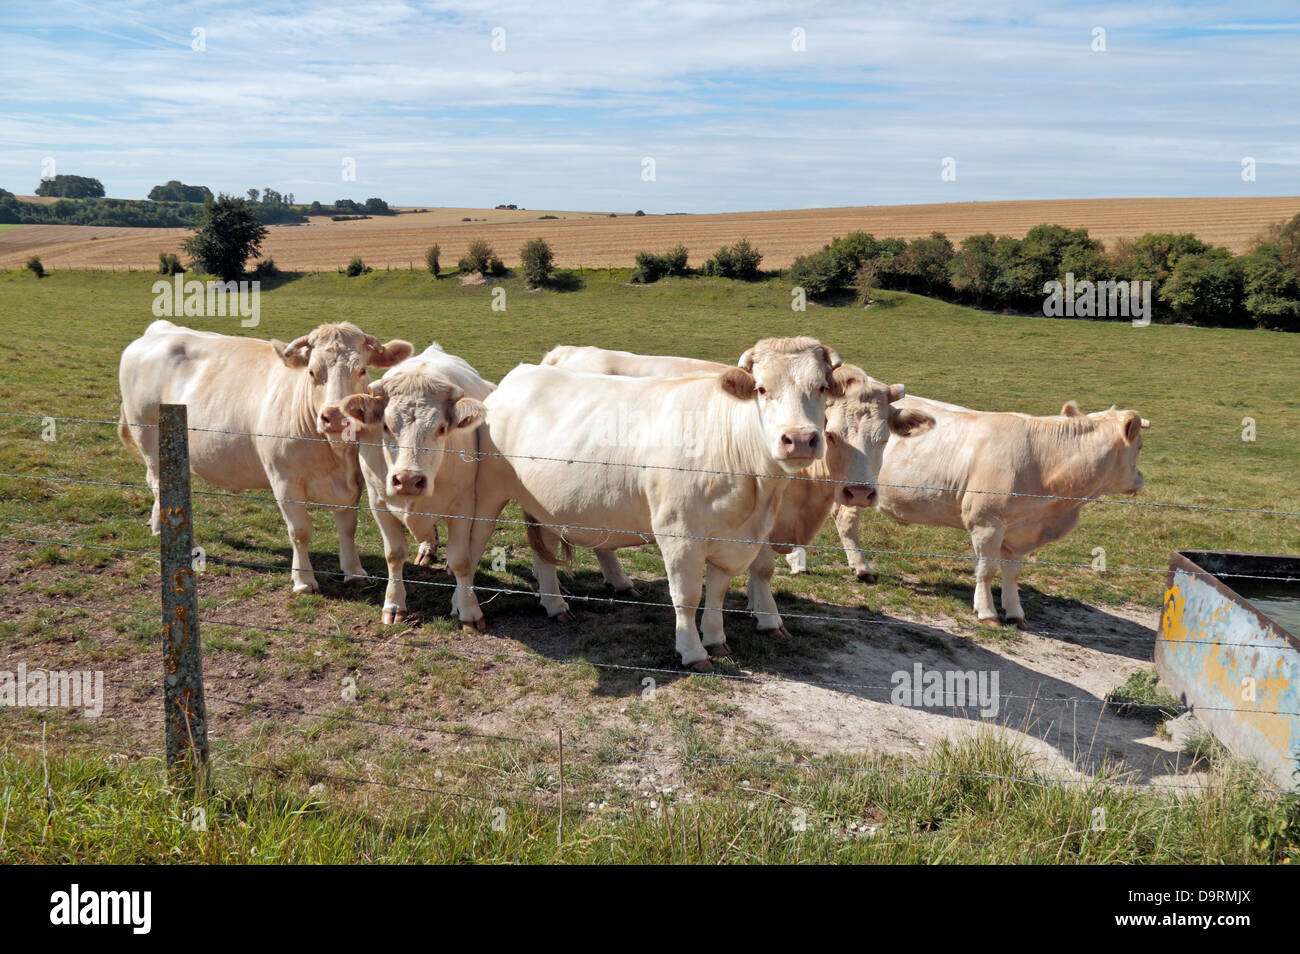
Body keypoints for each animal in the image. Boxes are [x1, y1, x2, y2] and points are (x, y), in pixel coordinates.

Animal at [118, 320, 413, 593]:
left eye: (362, 369)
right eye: (312, 371)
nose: (335, 417)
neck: (333, 455)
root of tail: (161, 330)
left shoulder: (352, 481)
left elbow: (348, 526)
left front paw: (354, 571)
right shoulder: (284, 480)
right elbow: (300, 531)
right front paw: (303, 580)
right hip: (149, 439)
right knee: (158, 484)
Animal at [339, 344, 493, 625]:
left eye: (441, 428)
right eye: (385, 426)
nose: (408, 480)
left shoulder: (464, 504)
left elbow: (461, 559)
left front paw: (468, 610)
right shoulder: (377, 502)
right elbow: (394, 554)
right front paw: (394, 604)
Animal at [468, 336, 847, 671]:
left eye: (821, 388)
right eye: (762, 389)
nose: (799, 439)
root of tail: (524, 372)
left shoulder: (732, 538)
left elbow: (718, 593)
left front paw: (716, 640)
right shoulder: (680, 534)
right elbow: (688, 596)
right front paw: (693, 652)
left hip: (543, 504)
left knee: (543, 552)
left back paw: (555, 604)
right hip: (485, 495)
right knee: (470, 550)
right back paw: (469, 611)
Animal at [540, 345, 933, 637]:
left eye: (883, 439)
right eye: (832, 434)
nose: (859, 493)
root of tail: (565, 352)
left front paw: (754, 606)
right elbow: (762, 568)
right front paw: (768, 615)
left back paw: (619, 582)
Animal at [829, 397, 1150, 628]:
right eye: (1140, 446)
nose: (1141, 478)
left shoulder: (1018, 531)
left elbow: (1011, 572)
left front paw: (1015, 610)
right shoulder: (987, 522)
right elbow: (987, 569)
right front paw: (987, 612)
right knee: (846, 522)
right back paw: (861, 568)